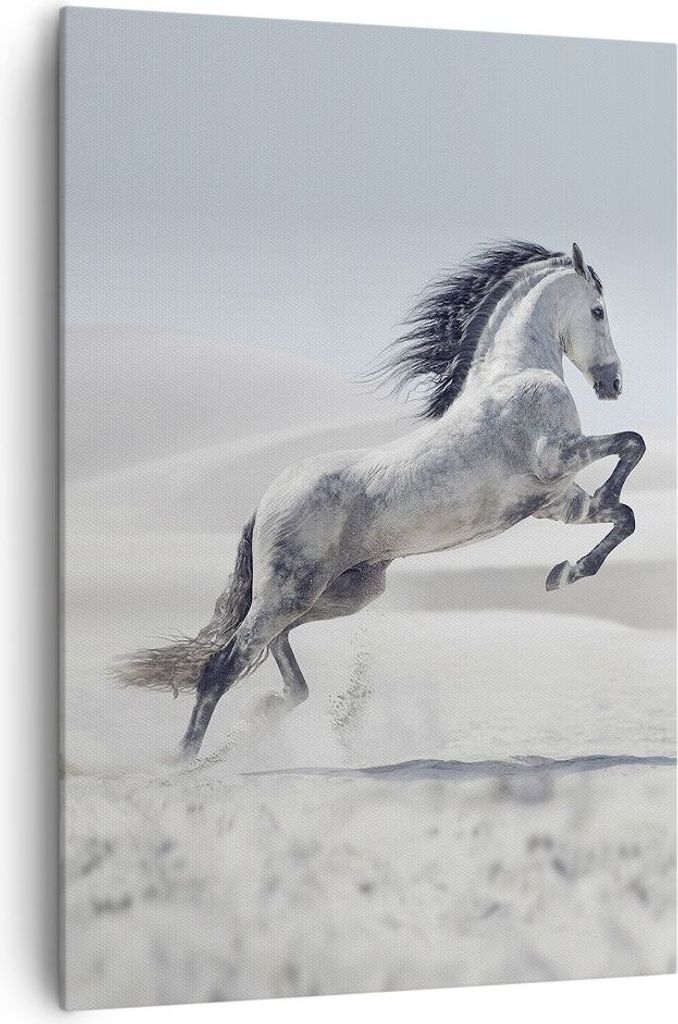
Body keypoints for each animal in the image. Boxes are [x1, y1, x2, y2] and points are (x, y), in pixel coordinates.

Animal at [117, 240, 646, 760]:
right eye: (598, 310)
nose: (613, 384)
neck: (513, 375)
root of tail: (265, 502)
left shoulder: (556, 501)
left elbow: (624, 516)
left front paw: (565, 572)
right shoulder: (557, 458)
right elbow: (632, 444)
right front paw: (587, 532)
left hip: (344, 592)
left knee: (272, 645)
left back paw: (264, 714)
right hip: (291, 590)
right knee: (225, 663)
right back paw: (186, 760)